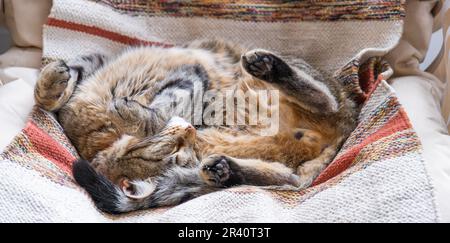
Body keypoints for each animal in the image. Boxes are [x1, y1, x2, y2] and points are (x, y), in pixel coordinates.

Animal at [34, 39, 358, 214]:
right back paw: (223, 169)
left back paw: (267, 66)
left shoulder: (190, 79)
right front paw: (52, 85)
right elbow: (64, 89)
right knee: (282, 177)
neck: (98, 133)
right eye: (177, 154)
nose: (190, 130)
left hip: (299, 91)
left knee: (324, 99)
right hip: (281, 169)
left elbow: (159, 108)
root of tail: (347, 124)